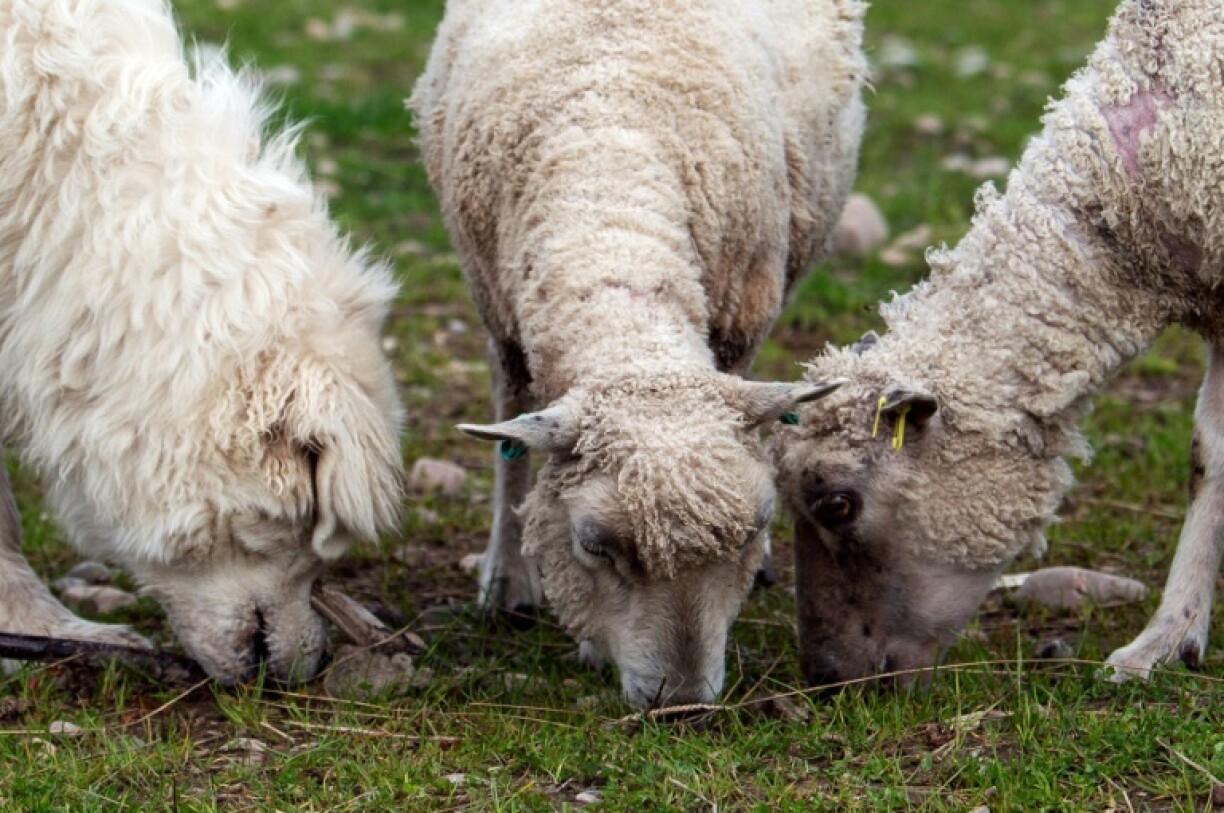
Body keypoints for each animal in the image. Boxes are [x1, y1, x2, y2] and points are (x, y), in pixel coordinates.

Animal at [410, 0, 865, 707]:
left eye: (755, 525)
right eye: (593, 545)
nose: (681, 707)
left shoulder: (742, 313)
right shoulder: (497, 312)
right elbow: (512, 443)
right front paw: (507, 579)